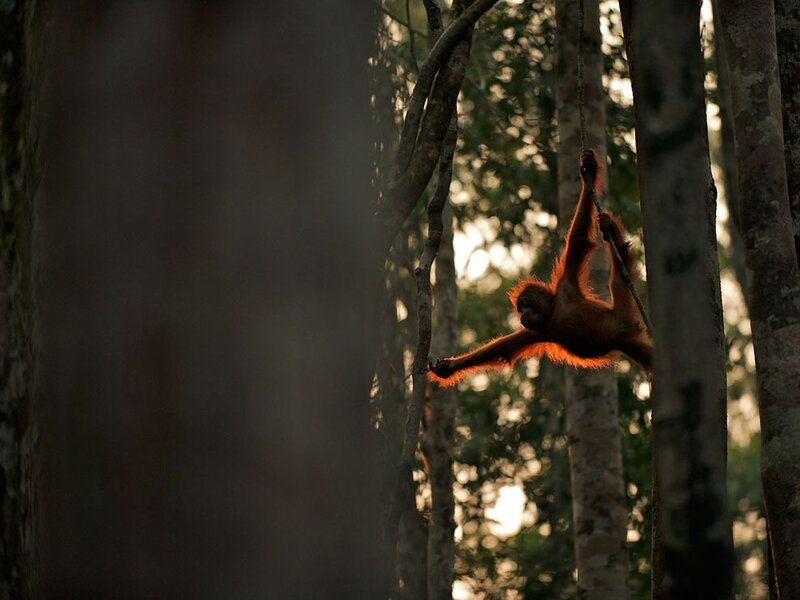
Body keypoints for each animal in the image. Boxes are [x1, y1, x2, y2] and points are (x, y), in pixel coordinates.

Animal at [428, 149, 653, 387]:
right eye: (520, 309)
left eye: (525, 304)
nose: (522, 315)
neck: (554, 314)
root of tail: (629, 327)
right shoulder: (537, 331)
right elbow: (501, 348)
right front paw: (447, 367)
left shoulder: (566, 285)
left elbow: (578, 238)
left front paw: (588, 171)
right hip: (631, 341)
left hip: (624, 314)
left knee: (618, 278)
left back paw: (613, 233)